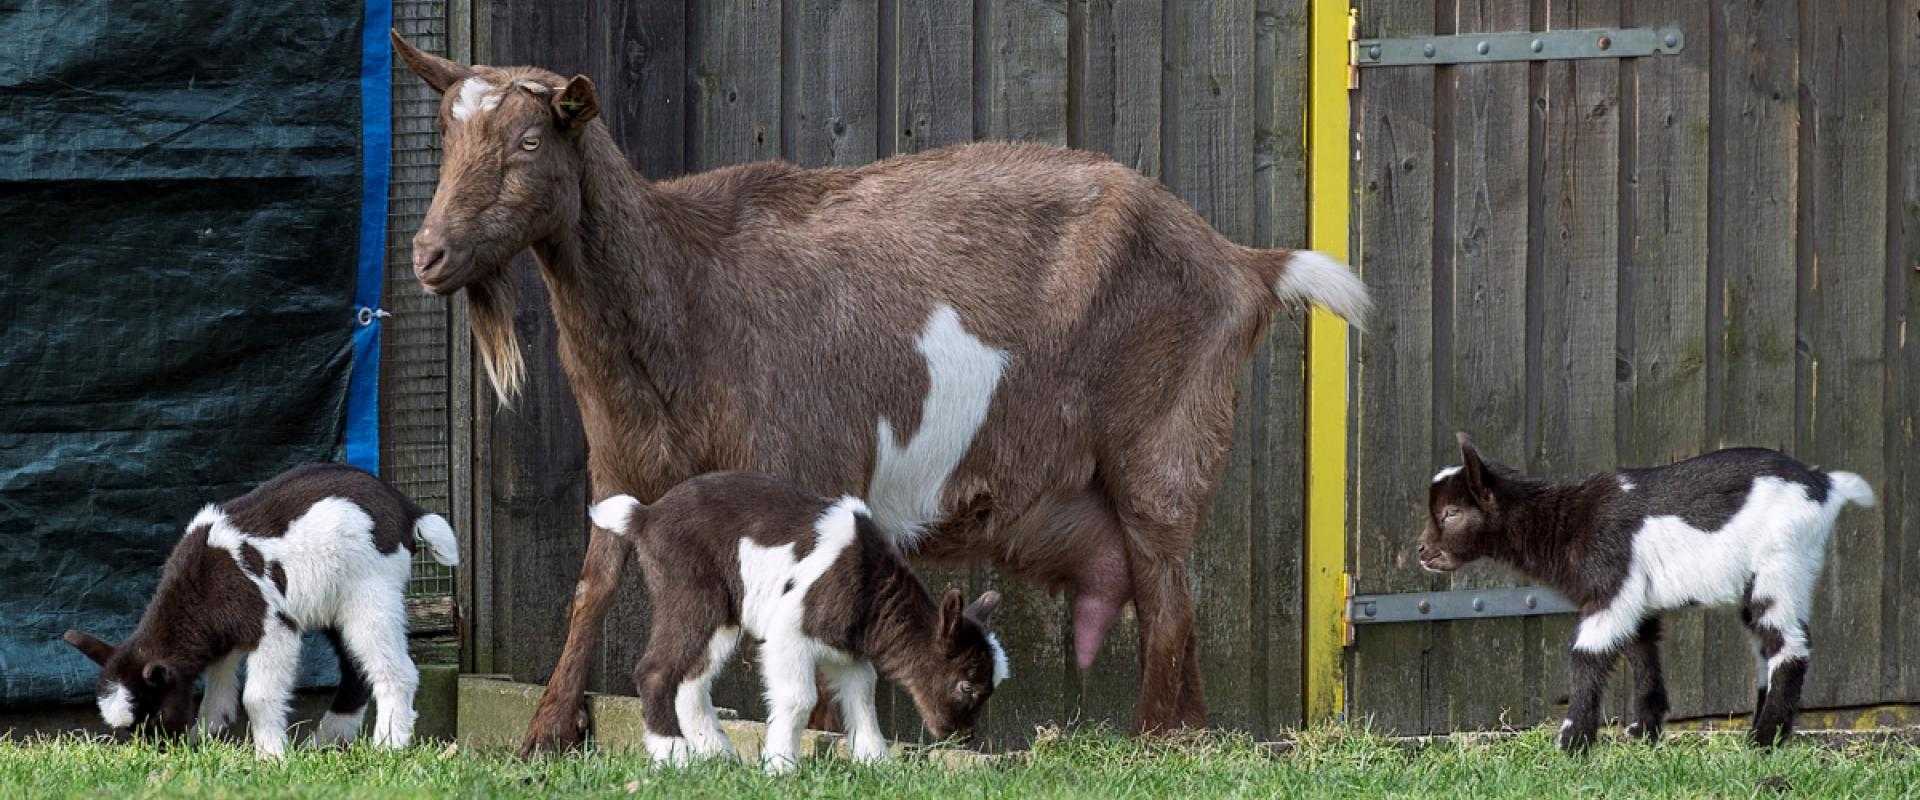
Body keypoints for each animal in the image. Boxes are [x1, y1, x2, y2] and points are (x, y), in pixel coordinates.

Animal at [397, 32, 1374, 755]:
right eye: (445, 138)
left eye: (530, 142)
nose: (429, 254)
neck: (684, 285)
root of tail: (1242, 265)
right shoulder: (619, 461)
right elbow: (592, 584)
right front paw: (543, 734)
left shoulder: (806, 467)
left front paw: (825, 736)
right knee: (1157, 595)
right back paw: (1183, 738)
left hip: (1166, 443)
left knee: (1169, 596)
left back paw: (1161, 745)